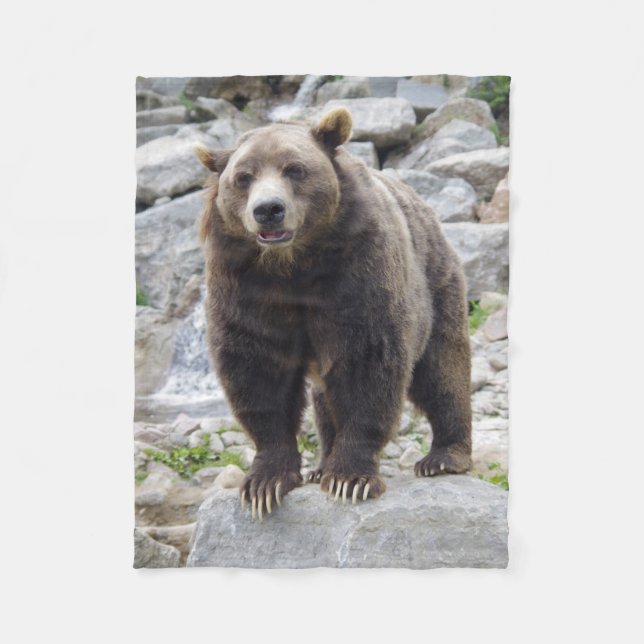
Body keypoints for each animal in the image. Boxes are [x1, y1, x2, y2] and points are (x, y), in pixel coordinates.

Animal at [195, 107, 472, 521]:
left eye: (294, 169)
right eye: (243, 177)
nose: (268, 210)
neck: (292, 266)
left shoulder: (357, 272)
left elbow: (367, 364)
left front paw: (350, 478)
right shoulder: (246, 288)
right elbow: (258, 371)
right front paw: (265, 483)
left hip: (437, 284)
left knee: (442, 369)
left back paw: (444, 457)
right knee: (325, 396)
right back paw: (320, 464)